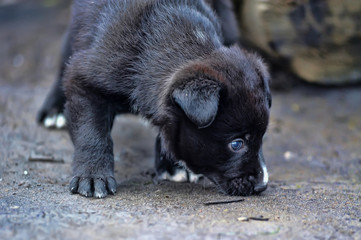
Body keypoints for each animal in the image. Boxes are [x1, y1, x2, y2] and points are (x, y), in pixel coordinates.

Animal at [38, 0, 270, 198]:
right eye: (237, 144)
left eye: (261, 137)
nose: (262, 186)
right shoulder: (86, 81)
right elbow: (92, 132)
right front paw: (93, 176)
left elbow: (170, 128)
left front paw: (173, 165)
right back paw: (54, 111)